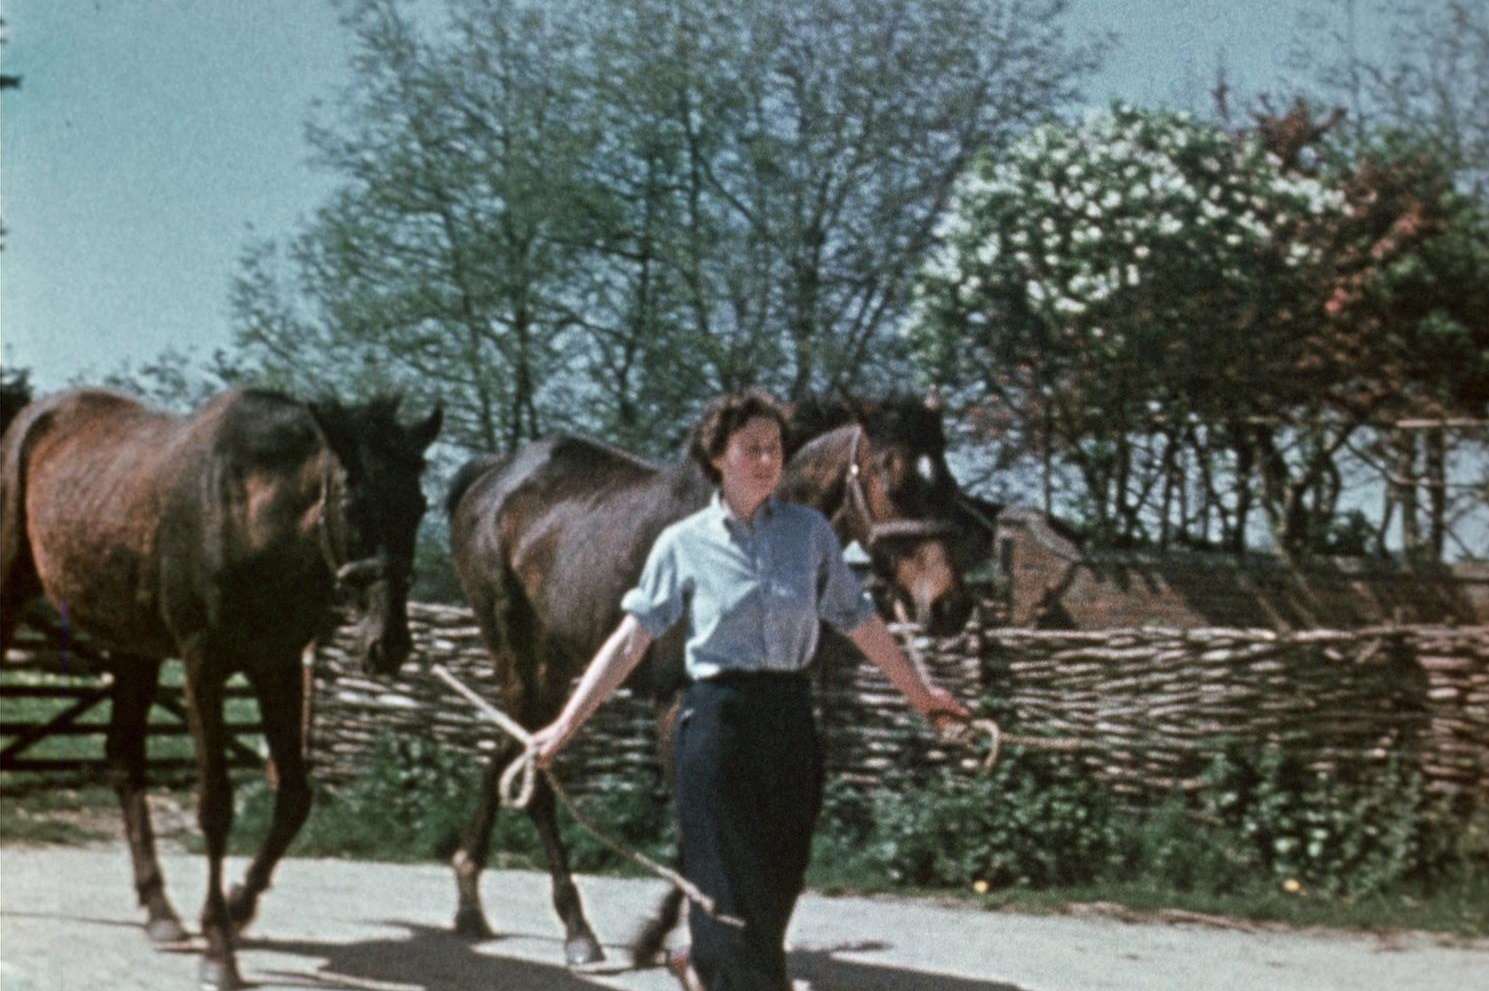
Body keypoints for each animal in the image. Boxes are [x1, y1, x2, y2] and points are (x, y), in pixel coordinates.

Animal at [0, 380, 440, 982]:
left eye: (419, 506)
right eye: (354, 505)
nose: (388, 644)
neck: (246, 515)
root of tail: (31, 419)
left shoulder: (278, 667)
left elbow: (295, 797)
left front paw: (236, 907)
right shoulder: (203, 667)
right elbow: (215, 805)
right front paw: (219, 950)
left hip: (134, 647)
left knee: (123, 760)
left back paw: (160, 912)